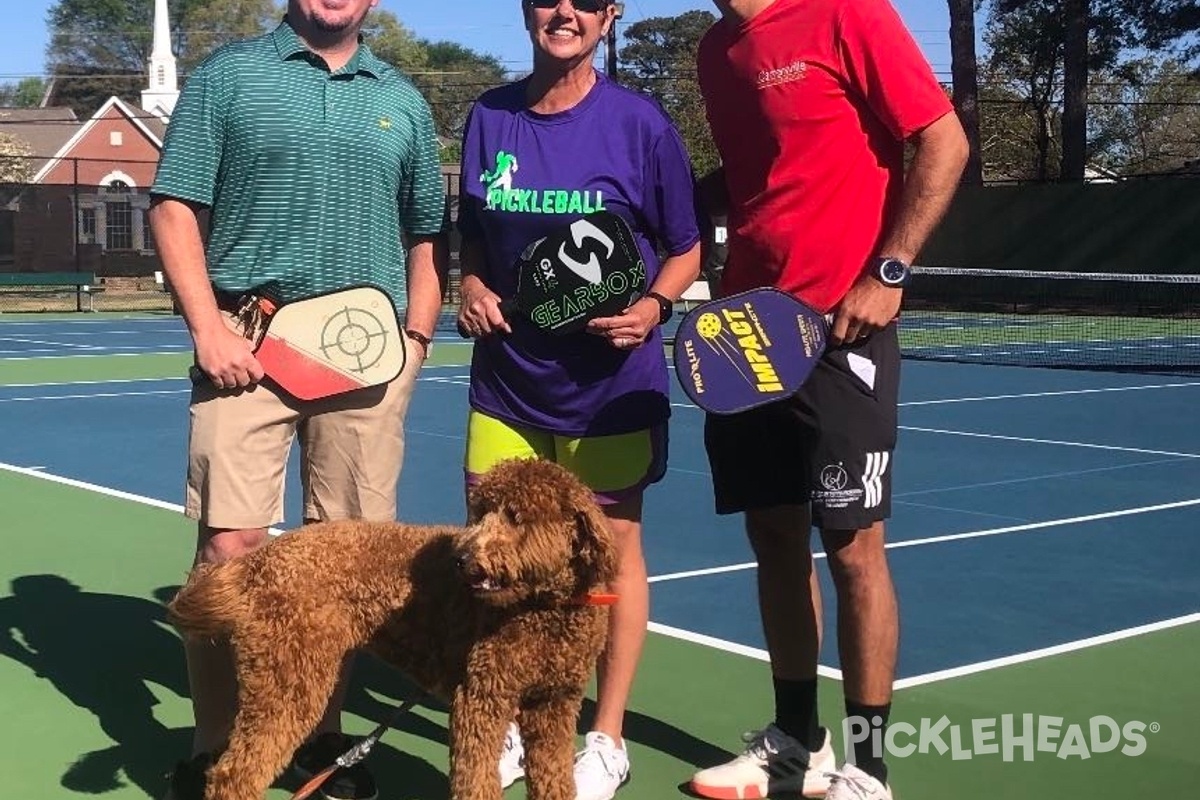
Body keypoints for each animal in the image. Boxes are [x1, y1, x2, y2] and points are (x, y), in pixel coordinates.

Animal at [166, 455, 619, 800]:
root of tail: (260, 562)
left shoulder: (554, 706)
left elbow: (555, 781)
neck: (545, 607)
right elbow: (475, 781)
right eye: (481, 513)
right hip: (287, 680)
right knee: (233, 775)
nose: (461, 559)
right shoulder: (481, 700)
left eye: (515, 517)